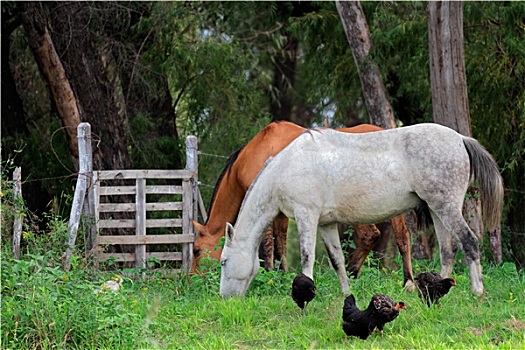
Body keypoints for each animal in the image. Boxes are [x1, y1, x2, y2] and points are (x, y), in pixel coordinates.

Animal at [190, 121, 416, 292]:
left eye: (196, 250)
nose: (191, 278)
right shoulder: (281, 210)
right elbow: (280, 242)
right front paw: (281, 273)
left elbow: (270, 243)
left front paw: (273, 274)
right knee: (402, 237)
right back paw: (405, 281)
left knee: (370, 236)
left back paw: (353, 273)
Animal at [218, 124, 504, 296]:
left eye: (223, 261)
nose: (225, 298)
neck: (288, 166)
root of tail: (460, 139)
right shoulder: (326, 224)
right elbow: (337, 260)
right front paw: (346, 293)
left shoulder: (306, 216)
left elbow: (307, 257)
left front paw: (304, 295)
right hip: (437, 210)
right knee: (448, 250)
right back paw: (435, 291)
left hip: (446, 208)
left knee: (469, 242)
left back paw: (477, 291)